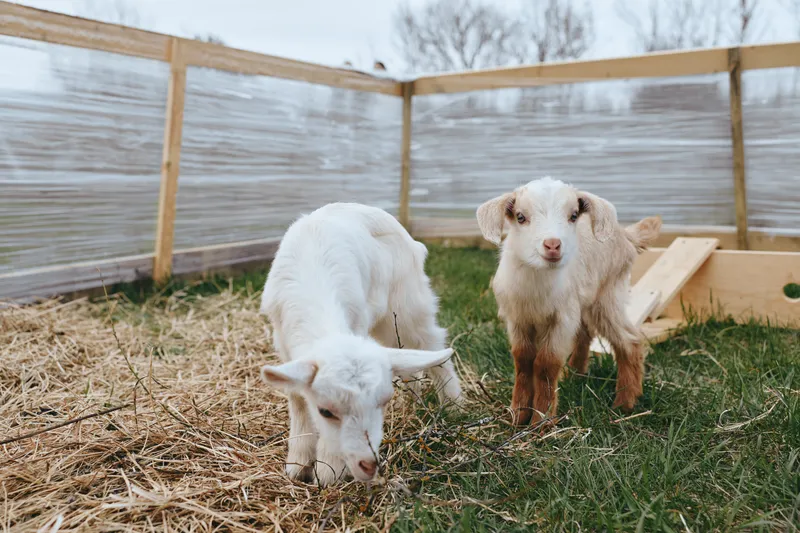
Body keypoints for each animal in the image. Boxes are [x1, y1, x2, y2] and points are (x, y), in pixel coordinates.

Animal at [259, 203, 463, 486]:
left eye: (384, 401)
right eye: (325, 411)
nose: (368, 464)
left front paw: (328, 470)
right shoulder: (283, 342)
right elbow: (297, 398)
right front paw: (298, 463)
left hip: (410, 304)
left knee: (432, 346)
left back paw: (454, 405)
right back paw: (414, 401)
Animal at [476, 177, 661, 426]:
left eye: (573, 215)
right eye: (520, 217)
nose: (553, 245)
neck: (538, 284)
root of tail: (626, 235)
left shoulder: (561, 319)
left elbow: (545, 364)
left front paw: (541, 421)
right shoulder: (517, 318)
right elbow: (523, 360)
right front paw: (518, 414)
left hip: (607, 296)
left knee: (629, 340)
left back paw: (625, 402)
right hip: (582, 302)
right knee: (584, 333)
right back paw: (574, 375)